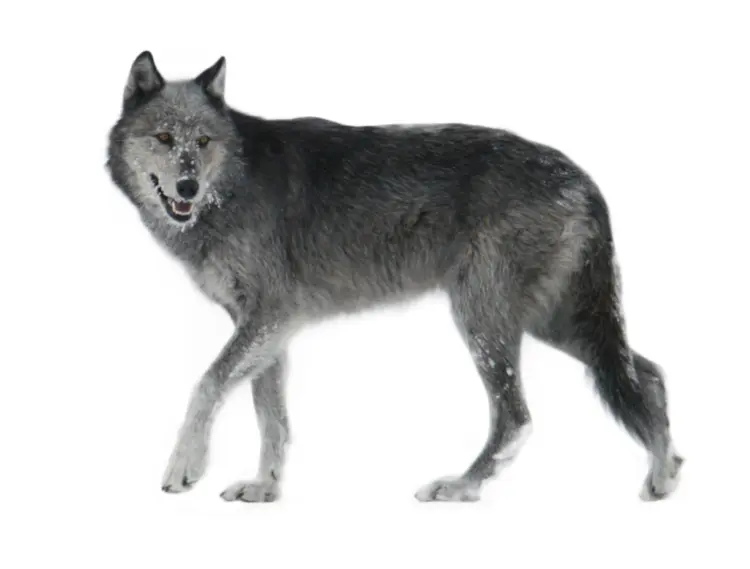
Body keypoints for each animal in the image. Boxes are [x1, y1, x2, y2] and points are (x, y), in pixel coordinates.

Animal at [106, 51, 683, 503]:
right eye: (164, 137)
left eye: (203, 142)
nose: (187, 187)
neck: (234, 183)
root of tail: (583, 177)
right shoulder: (265, 328)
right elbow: (271, 417)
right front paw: (264, 488)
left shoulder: (270, 316)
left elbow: (206, 384)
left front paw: (185, 467)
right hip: (554, 323)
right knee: (648, 374)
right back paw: (664, 477)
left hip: (486, 321)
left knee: (517, 417)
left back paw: (460, 487)